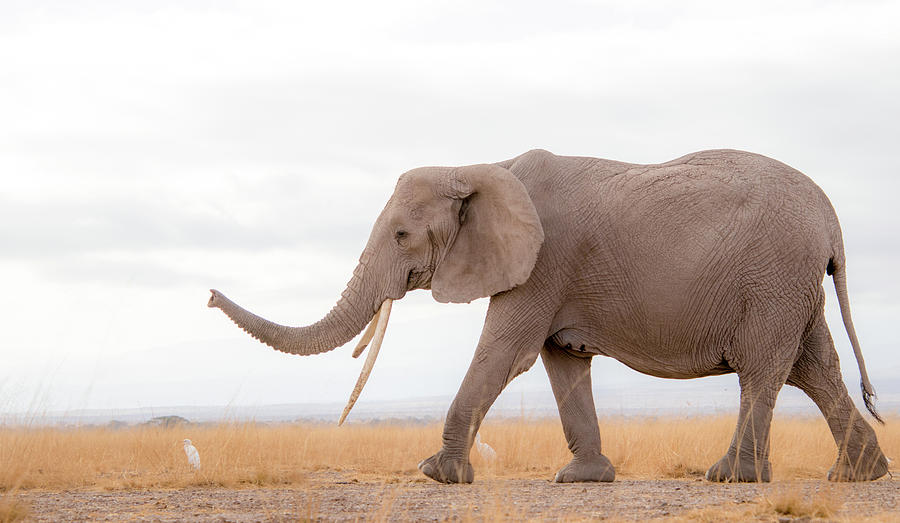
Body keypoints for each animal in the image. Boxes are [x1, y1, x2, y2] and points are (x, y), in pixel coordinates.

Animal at [207, 147, 888, 484]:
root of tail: (832, 219)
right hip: (790, 282)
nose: (210, 296)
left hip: (772, 277)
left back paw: (730, 479)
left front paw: (438, 475)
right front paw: (585, 479)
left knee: (764, 371)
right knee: (812, 367)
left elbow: (504, 353)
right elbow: (562, 364)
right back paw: (858, 476)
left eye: (401, 235)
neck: (481, 166)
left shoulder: (545, 260)